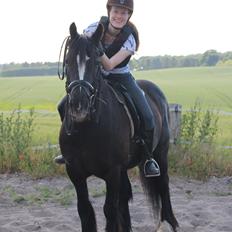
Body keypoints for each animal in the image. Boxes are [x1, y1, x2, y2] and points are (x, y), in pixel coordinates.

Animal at [59, 22, 179, 232]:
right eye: (68, 60)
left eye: (97, 63)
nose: (79, 105)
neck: (87, 129)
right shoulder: (75, 171)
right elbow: (85, 210)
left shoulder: (112, 171)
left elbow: (109, 209)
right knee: (125, 196)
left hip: (160, 152)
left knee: (163, 184)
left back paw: (169, 222)